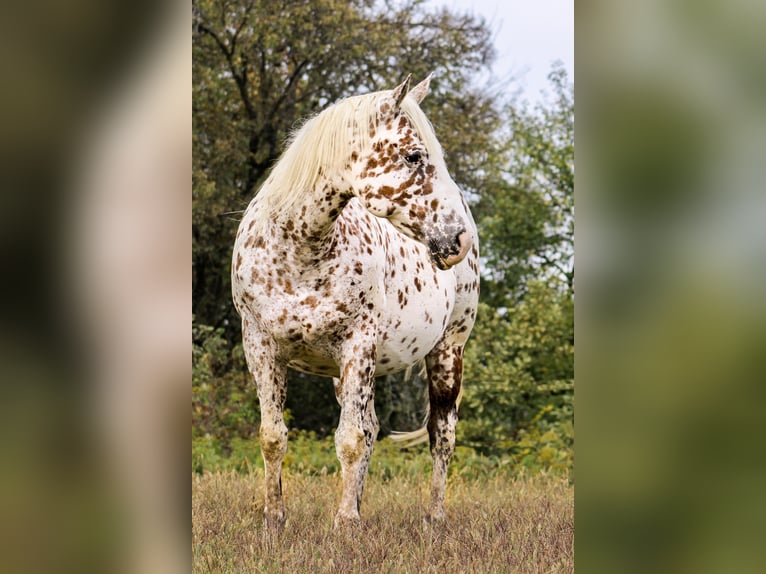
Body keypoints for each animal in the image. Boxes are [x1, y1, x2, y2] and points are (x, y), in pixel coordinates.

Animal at [231, 73, 480, 532]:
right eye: (414, 156)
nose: (459, 239)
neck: (300, 249)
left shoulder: (356, 345)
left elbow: (349, 440)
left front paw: (344, 523)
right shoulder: (260, 346)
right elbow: (273, 437)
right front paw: (274, 519)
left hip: (446, 351)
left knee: (441, 436)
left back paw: (434, 517)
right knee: (373, 425)